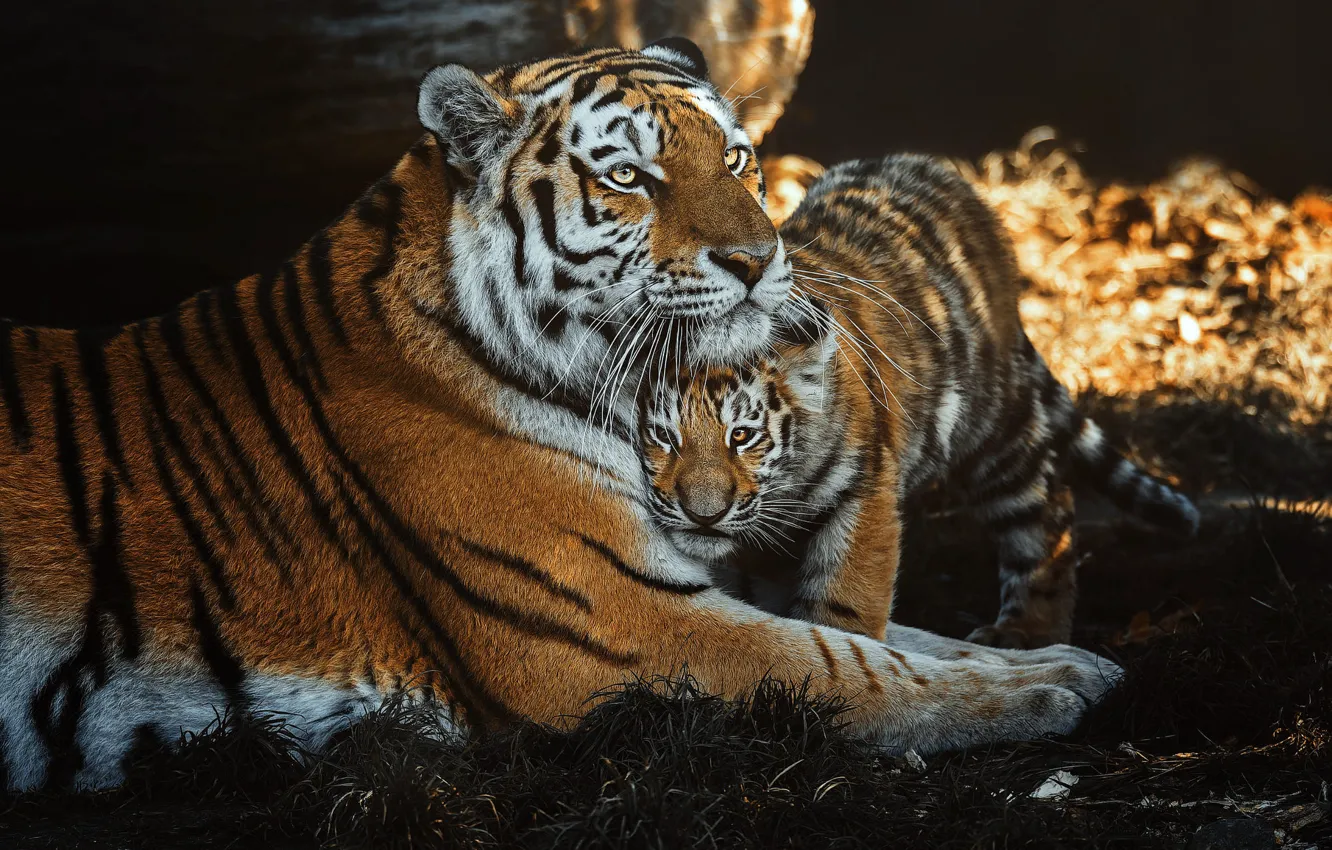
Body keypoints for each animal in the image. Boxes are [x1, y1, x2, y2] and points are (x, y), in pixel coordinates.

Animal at [0, 41, 1120, 792]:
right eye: (628, 176)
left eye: (739, 159)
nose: (761, 261)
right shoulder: (619, 626)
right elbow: (848, 662)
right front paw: (1042, 694)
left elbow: (901, 636)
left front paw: (1068, 660)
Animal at [638, 153, 1201, 648]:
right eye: (663, 436)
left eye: (743, 436)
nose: (703, 517)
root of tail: (935, 169)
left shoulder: (864, 489)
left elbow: (846, 599)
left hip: (993, 430)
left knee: (1046, 509)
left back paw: (1026, 631)